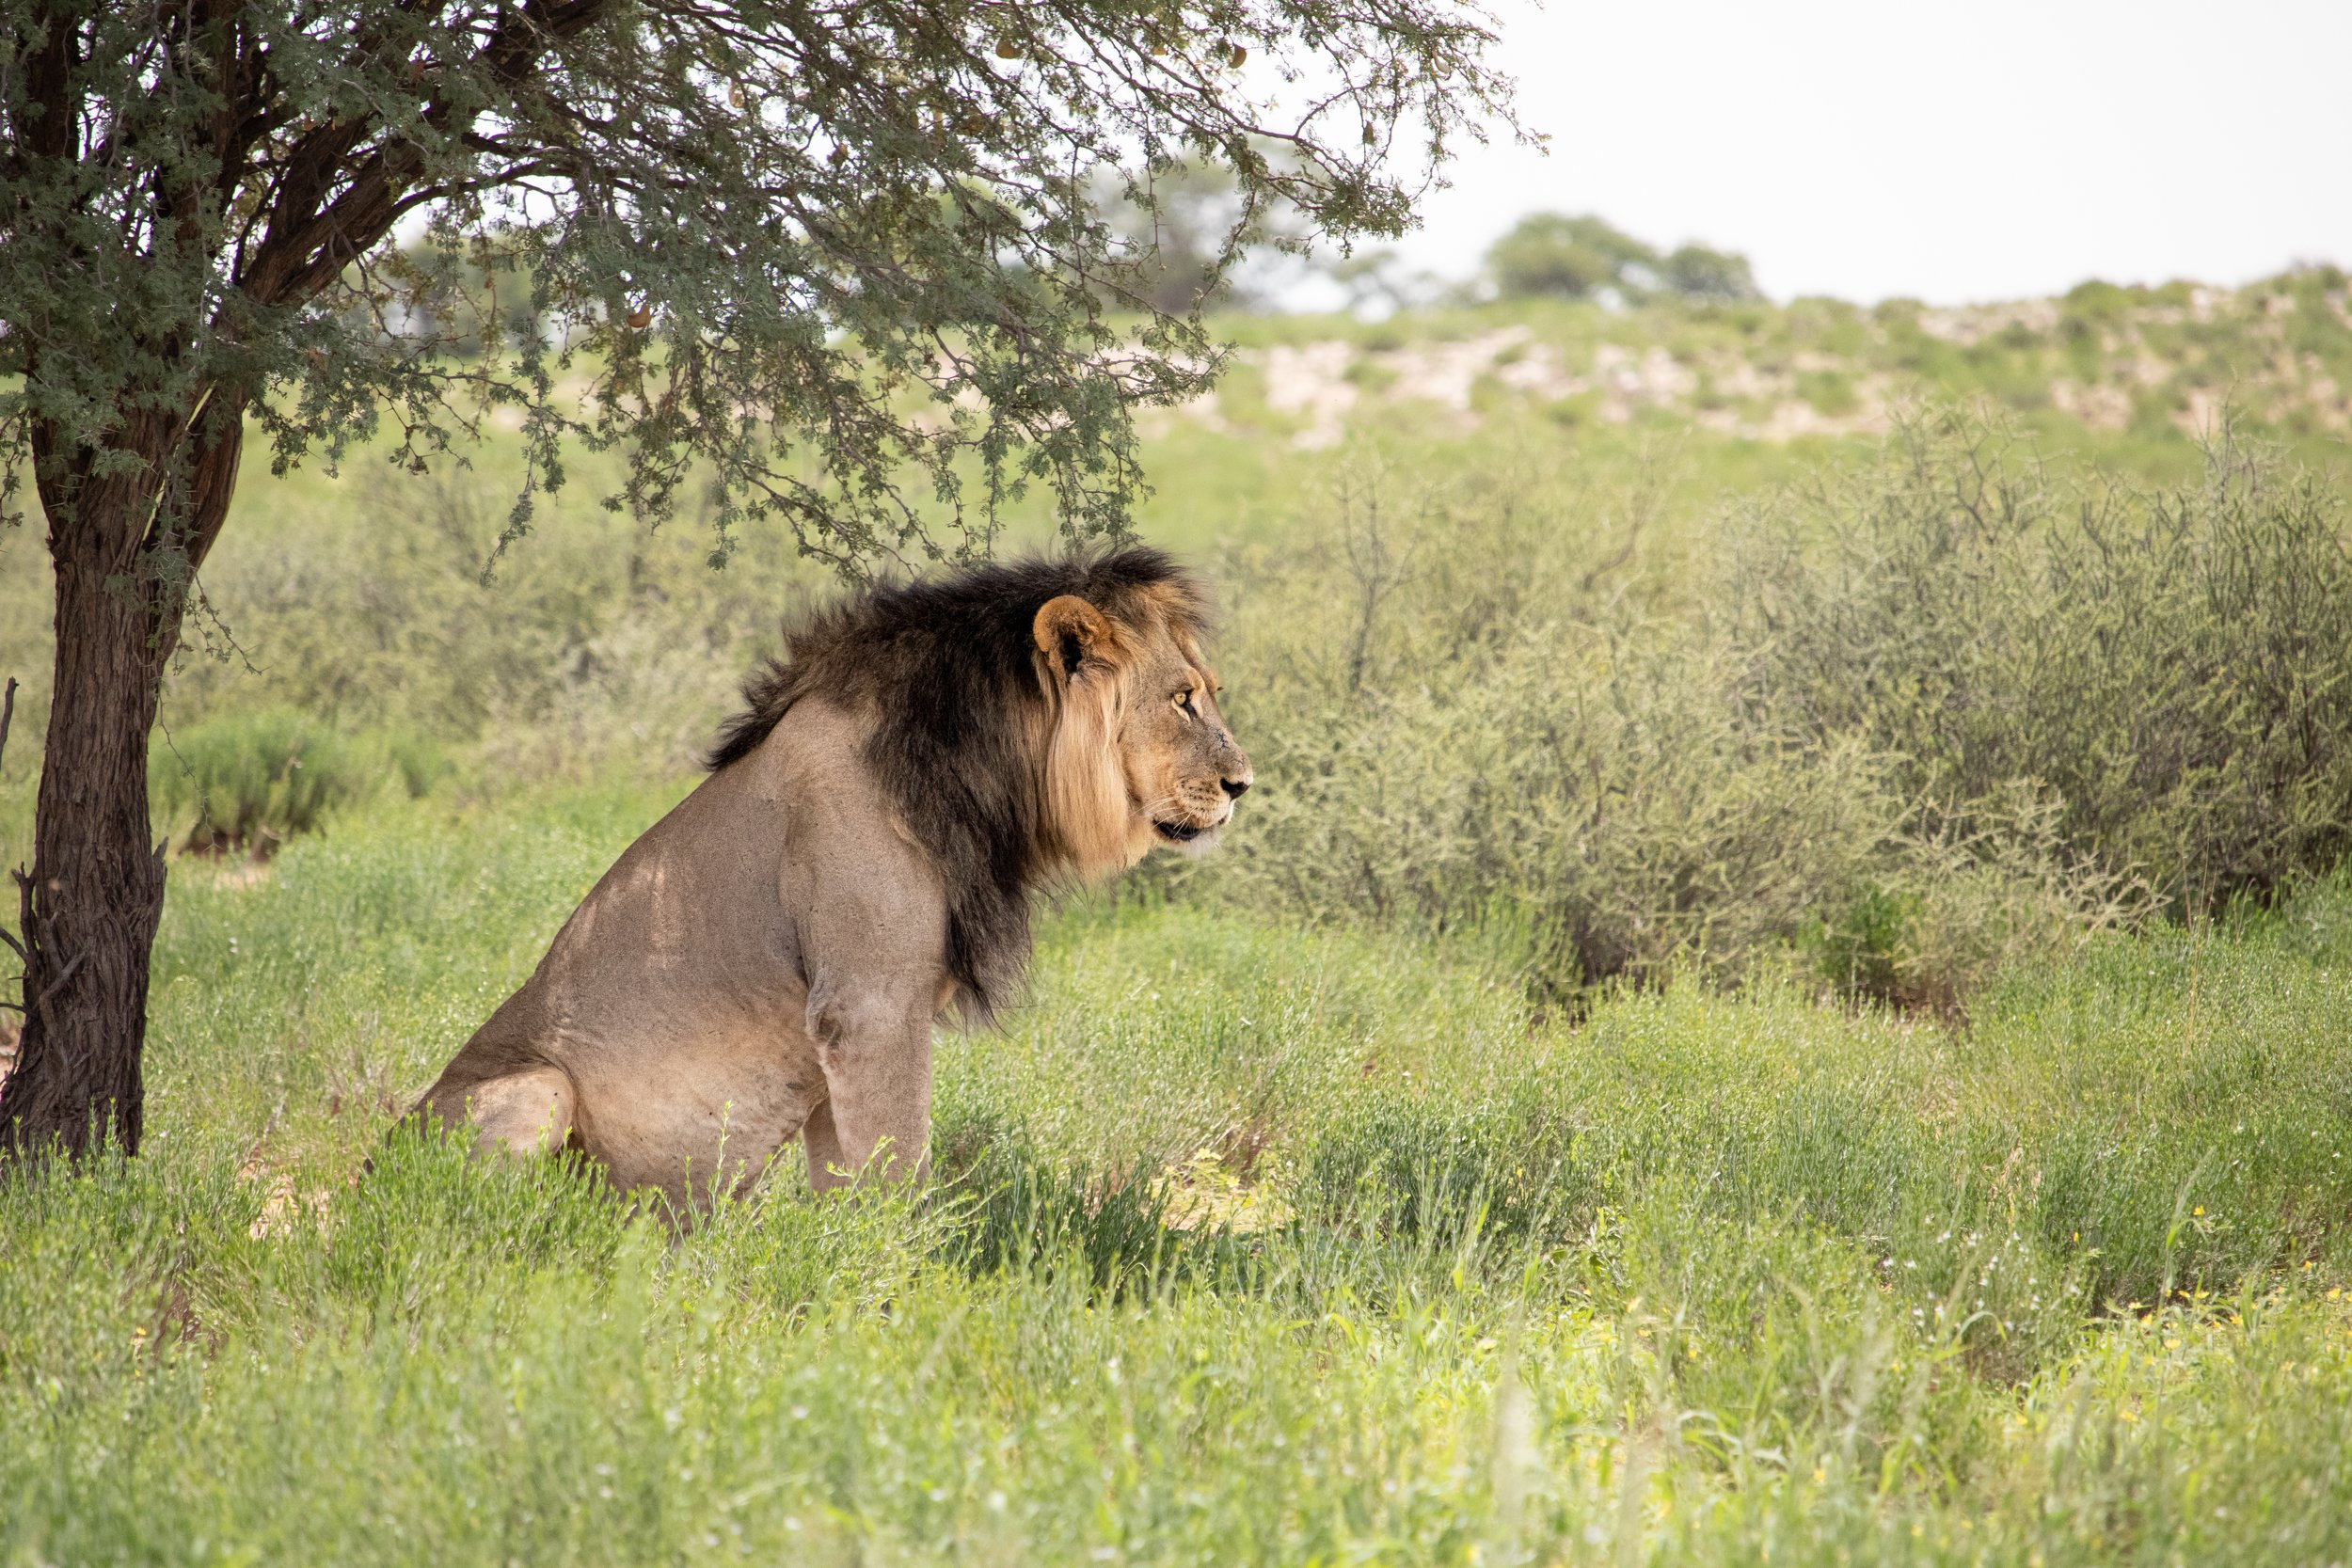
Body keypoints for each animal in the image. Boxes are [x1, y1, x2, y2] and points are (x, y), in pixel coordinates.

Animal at [405, 548, 1251, 1206]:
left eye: (1211, 691)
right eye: (1182, 700)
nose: (1243, 783)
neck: (986, 771)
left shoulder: (836, 1038)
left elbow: (845, 1173)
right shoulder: (870, 1005)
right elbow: (900, 1171)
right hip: (538, 1089)